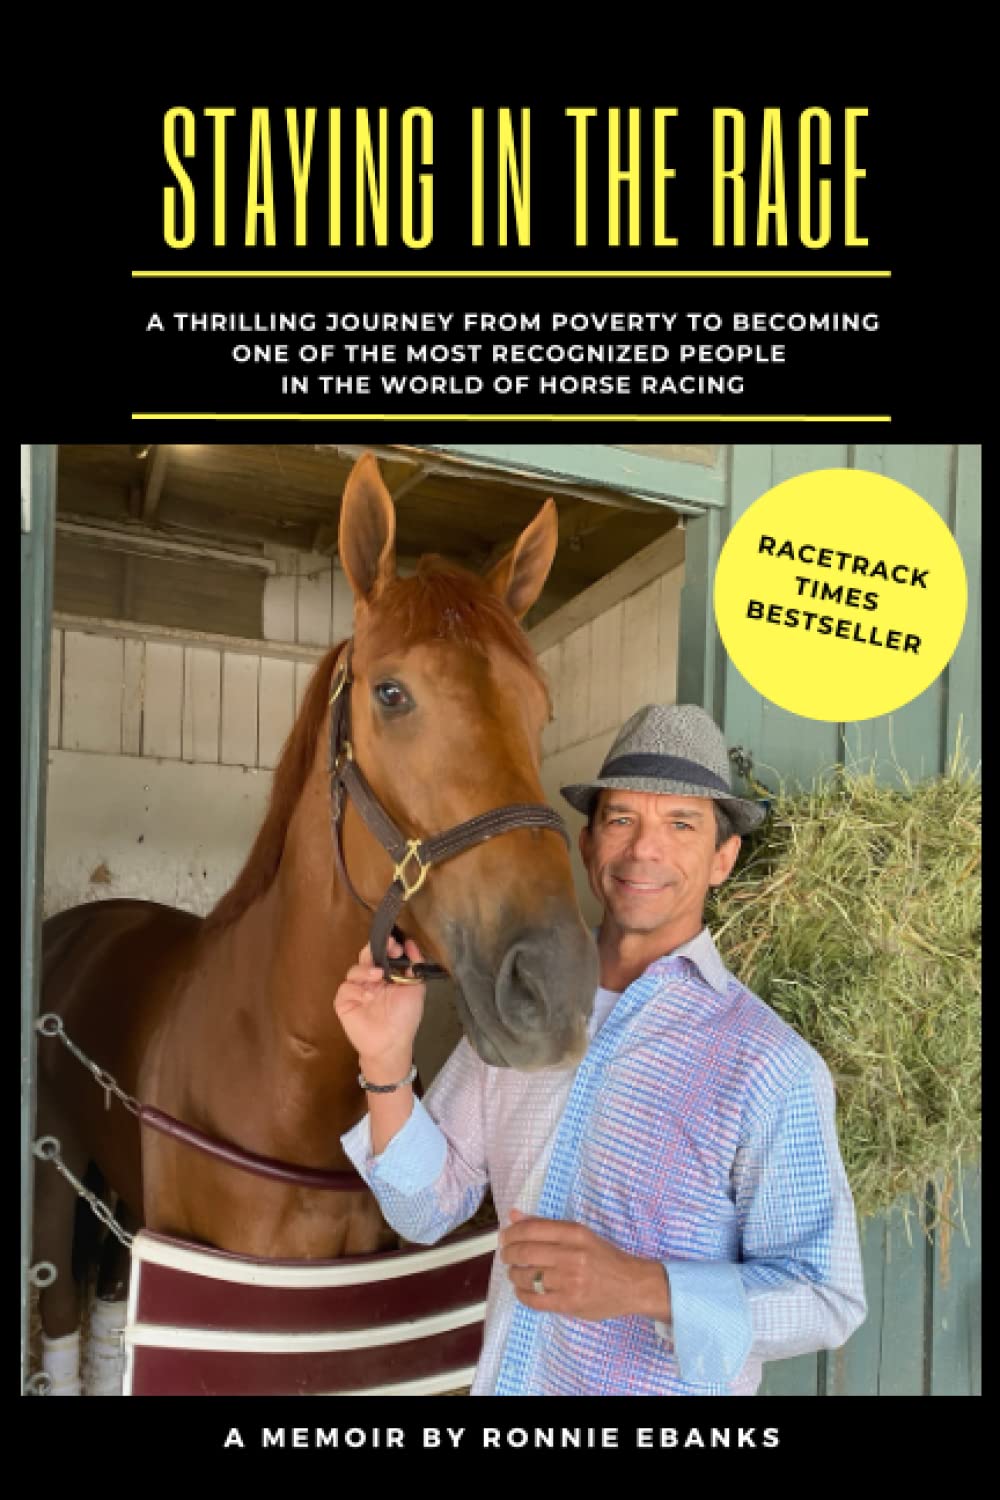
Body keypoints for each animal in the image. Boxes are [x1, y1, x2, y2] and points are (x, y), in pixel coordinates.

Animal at [32, 452, 598, 1394]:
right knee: (60, 1317)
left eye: (541, 706)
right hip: (54, 1175)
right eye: (392, 692)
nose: (554, 987)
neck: (284, 1065)